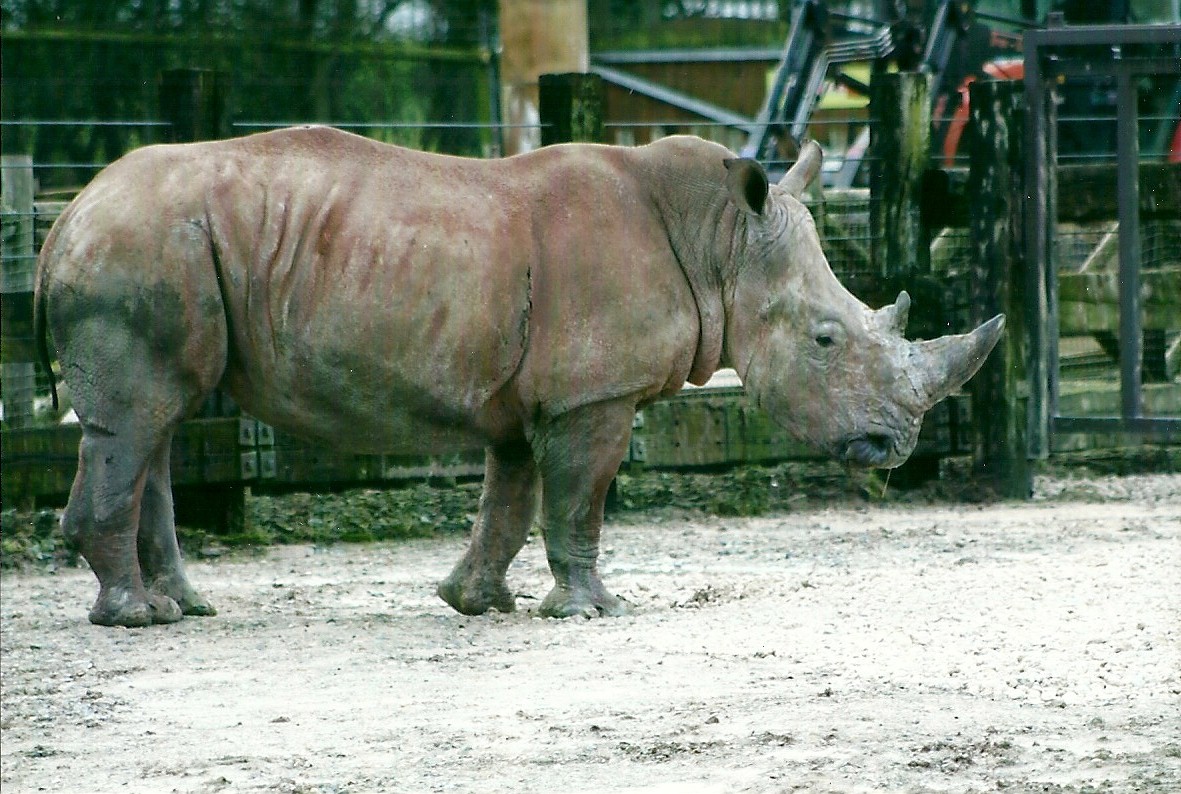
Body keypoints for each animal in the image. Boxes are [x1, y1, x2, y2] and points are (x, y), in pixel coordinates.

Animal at [35, 127, 1003, 627]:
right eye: (827, 339)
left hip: (157, 247)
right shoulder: (592, 395)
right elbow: (578, 499)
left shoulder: (529, 396)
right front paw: (592, 610)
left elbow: (510, 496)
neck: (723, 242)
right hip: (139, 248)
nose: (895, 444)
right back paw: (135, 618)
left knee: (157, 424)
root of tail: (61, 221)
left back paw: (186, 608)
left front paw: (478, 602)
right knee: (138, 421)